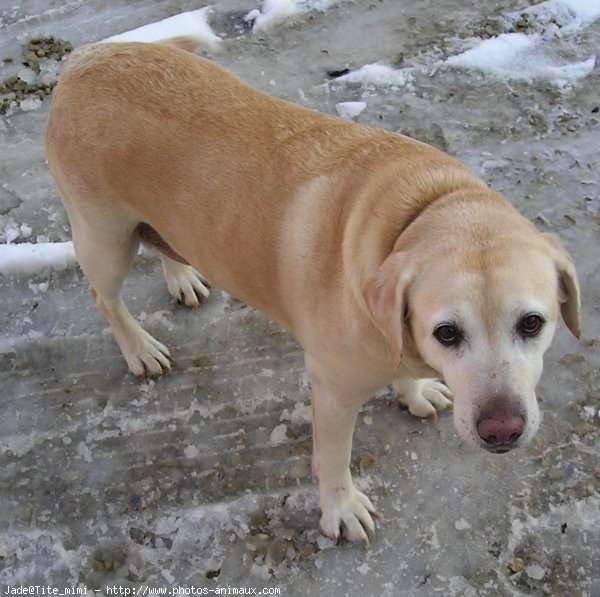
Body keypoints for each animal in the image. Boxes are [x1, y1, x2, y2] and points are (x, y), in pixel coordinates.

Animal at [44, 42, 580, 544]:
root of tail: (85, 56)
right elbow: (334, 457)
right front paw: (341, 509)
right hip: (104, 238)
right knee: (105, 297)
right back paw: (139, 348)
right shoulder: (333, 390)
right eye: (446, 333)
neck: (420, 208)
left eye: (533, 323)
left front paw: (414, 389)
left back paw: (180, 275)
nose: (502, 430)